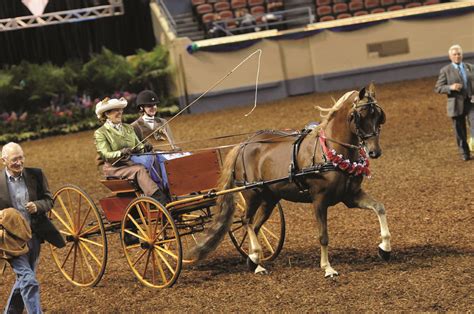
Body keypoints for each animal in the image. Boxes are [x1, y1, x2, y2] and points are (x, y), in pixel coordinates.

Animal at [191, 83, 390, 278]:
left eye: (378, 116)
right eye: (360, 116)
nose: (375, 152)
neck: (330, 151)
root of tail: (244, 145)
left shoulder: (350, 196)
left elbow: (379, 207)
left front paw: (385, 248)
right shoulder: (319, 199)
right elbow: (323, 235)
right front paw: (327, 268)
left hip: (269, 199)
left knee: (255, 225)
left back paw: (254, 261)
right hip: (252, 194)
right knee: (246, 220)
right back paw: (256, 258)